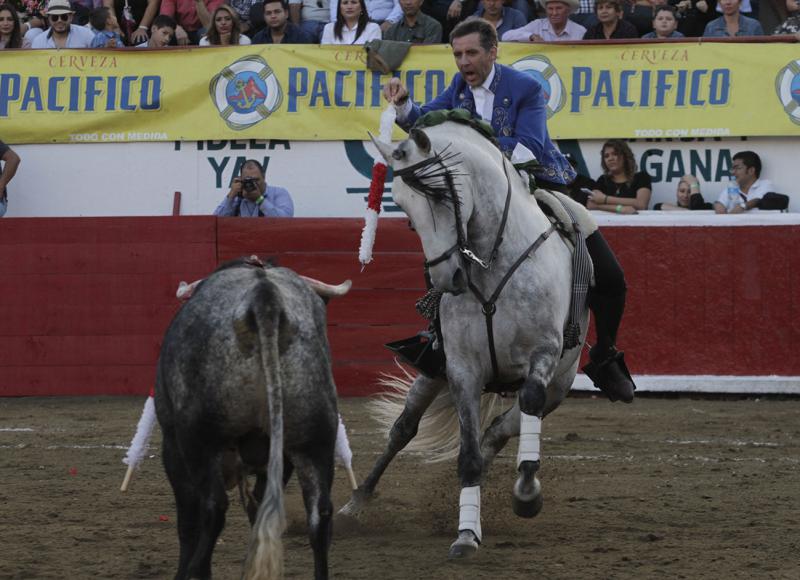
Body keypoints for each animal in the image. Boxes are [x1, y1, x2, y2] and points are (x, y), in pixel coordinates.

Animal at [154, 258, 350, 580]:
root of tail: (264, 297)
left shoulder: (172, 445)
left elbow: (188, 521)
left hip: (199, 440)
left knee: (212, 508)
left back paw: (192, 570)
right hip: (315, 439)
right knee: (320, 515)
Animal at [340, 117, 590, 559]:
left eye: (442, 195)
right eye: (403, 210)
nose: (447, 279)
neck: (492, 261)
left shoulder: (543, 354)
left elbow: (525, 406)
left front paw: (527, 494)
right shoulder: (462, 371)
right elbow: (467, 455)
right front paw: (466, 534)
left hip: (561, 383)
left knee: (509, 423)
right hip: (430, 372)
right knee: (403, 430)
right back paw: (356, 504)